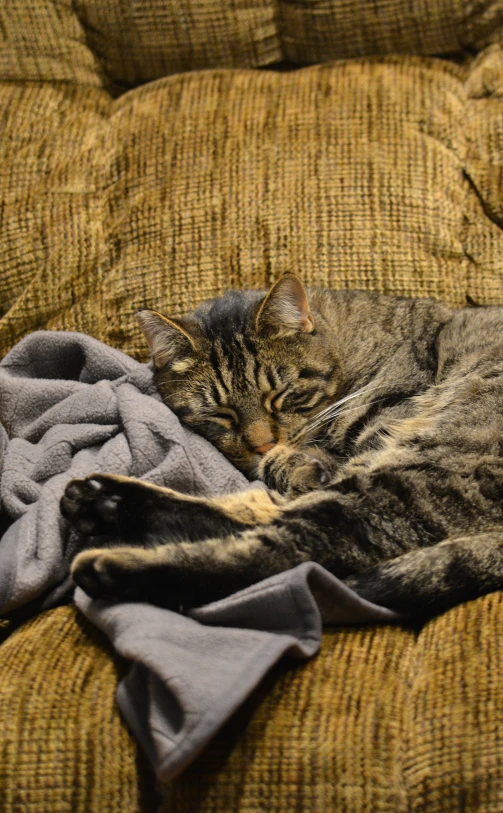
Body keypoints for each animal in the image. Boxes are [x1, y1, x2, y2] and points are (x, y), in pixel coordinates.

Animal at [60, 276, 503, 620]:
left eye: (281, 396)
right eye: (221, 414)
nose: (263, 444)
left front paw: (290, 462)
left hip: (426, 470)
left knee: (297, 550)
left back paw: (115, 561)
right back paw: (102, 502)